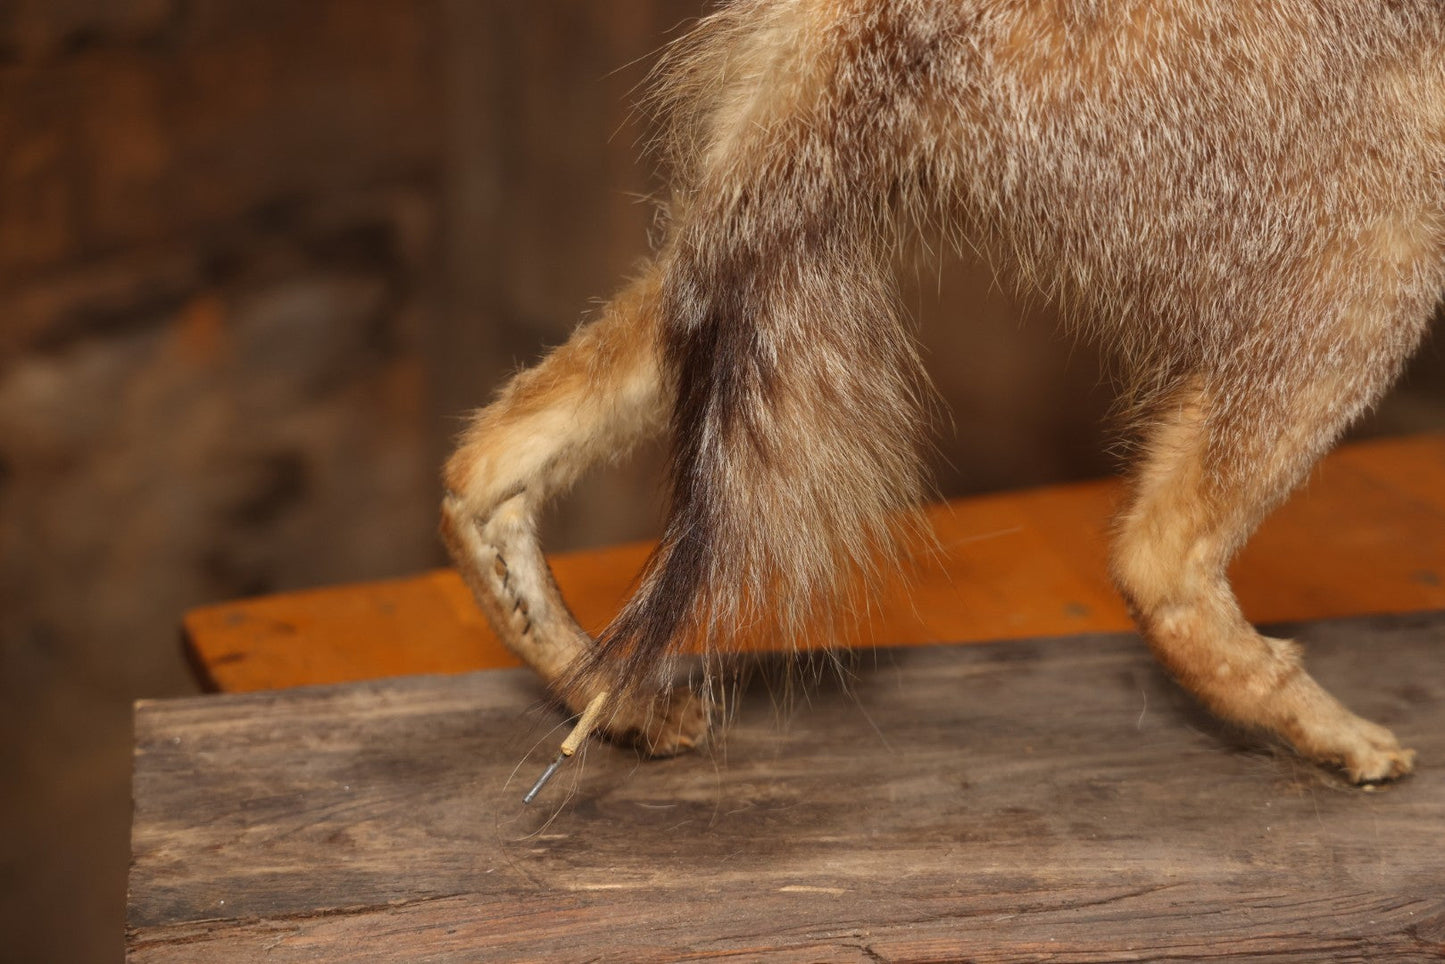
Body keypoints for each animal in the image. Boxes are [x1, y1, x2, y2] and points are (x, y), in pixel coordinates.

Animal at [441, 0, 1445, 791]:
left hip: (739, 256)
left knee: (483, 464)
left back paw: (618, 704)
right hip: (1385, 240)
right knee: (1152, 558)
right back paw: (1339, 737)